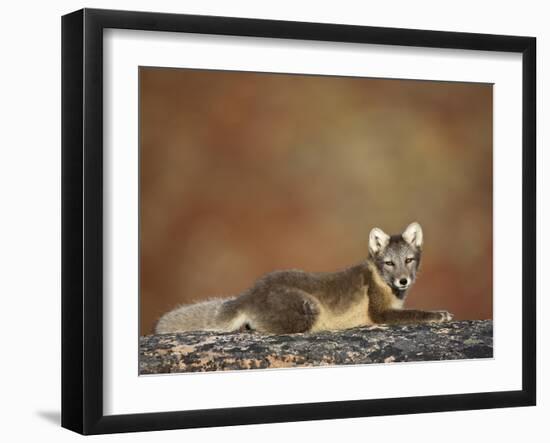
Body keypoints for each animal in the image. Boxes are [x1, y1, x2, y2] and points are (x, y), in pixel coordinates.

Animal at [154, 224, 452, 334]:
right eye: (389, 263)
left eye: (409, 260)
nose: (403, 281)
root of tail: (249, 293)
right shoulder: (380, 314)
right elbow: (416, 313)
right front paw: (439, 315)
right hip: (309, 308)